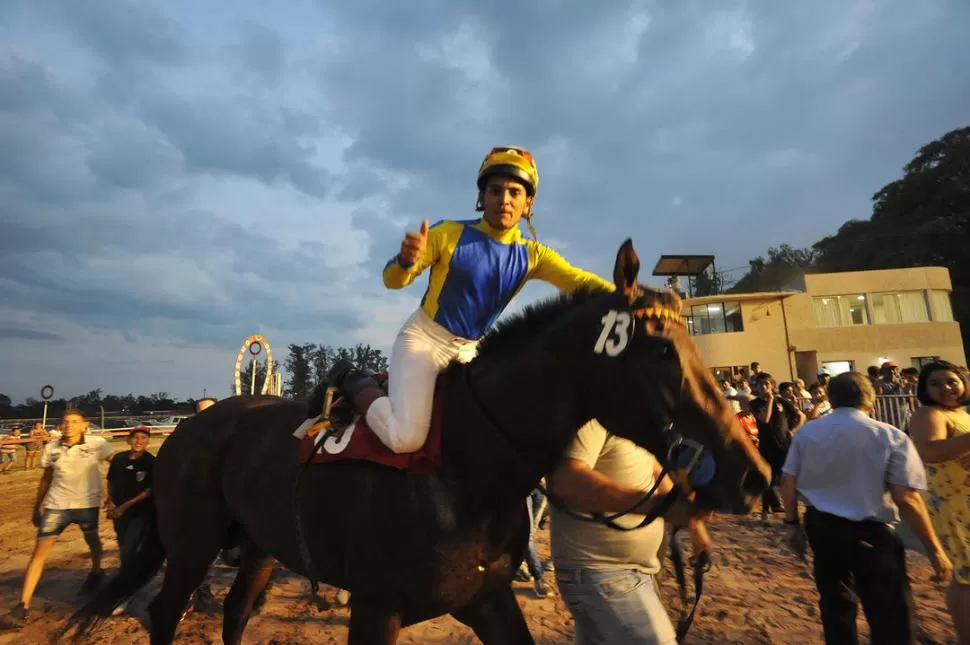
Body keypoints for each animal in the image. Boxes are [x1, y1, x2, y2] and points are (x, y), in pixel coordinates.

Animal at [64, 240, 768, 644]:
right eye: (659, 350)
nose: (752, 475)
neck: (465, 468)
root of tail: (183, 432)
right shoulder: (374, 611)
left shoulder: (487, 602)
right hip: (191, 546)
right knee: (165, 614)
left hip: (260, 545)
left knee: (236, 614)